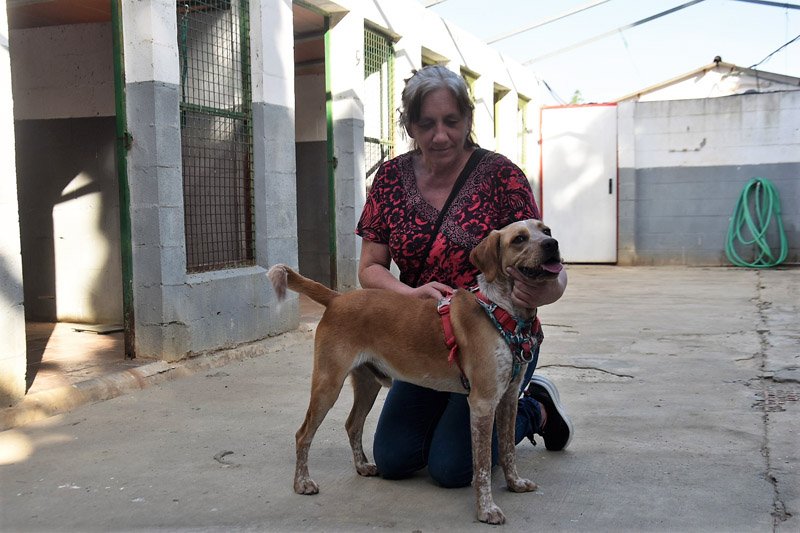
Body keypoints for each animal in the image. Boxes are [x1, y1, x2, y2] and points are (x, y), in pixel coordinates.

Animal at [267, 219, 563, 525]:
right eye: (519, 239)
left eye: (547, 231)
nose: (552, 244)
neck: (503, 310)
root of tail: (337, 298)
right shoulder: (483, 402)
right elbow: (481, 465)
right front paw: (486, 509)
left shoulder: (509, 397)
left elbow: (506, 449)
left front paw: (515, 483)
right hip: (328, 383)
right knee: (303, 434)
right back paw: (302, 483)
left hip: (368, 384)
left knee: (352, 425)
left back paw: (362, 465)